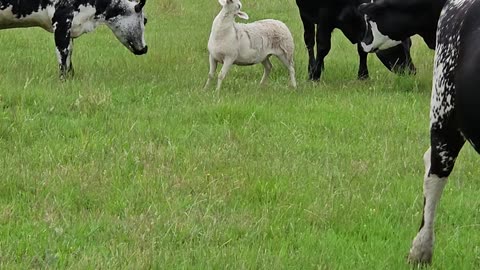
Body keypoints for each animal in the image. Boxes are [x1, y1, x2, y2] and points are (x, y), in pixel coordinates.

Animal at [0, 0, 148, 78]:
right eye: (145, 20)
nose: (145, 48)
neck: (90, 19)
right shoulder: (62, 19)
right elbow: (63, 54)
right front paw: (63, 80)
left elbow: (70, 53)